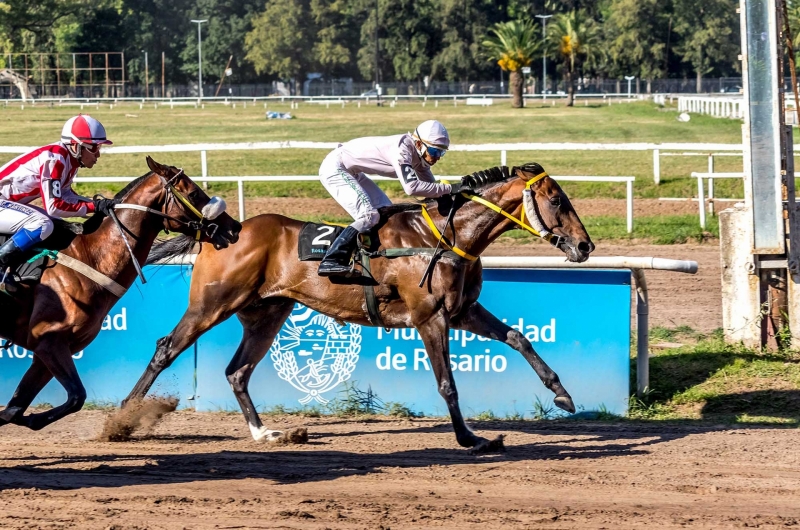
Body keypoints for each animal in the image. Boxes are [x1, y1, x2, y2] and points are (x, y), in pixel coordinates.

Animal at [0, 156, 241, 428]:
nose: (234, 227)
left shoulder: (51, 349)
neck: (90, 258)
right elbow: (75, 397)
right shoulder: (49, 341)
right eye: (194, 193)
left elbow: (17, 408)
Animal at [122, 162, 592, 450]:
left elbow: (518, 337)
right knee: (166, 349)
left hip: (267, 314)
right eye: (557, 201)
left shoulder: (461, 312)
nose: (585, 246)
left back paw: (265, 433)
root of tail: (220, 231)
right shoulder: (430, 318)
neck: (442, 237)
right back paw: (124, 418)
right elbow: (447, 384)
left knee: (237, 372)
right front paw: (471, 439)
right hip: (211, 304)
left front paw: (563, 395)